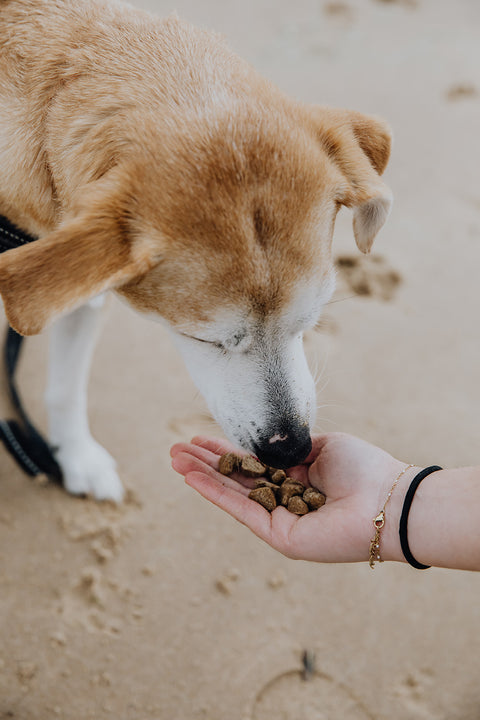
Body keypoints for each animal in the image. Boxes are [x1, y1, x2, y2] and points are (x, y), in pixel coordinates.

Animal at [0, 0, 392, 500]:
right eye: (203, 338)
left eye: (310, 321)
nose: (290, 450)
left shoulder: (81, 290)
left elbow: (66, 387)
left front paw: (77, 458)